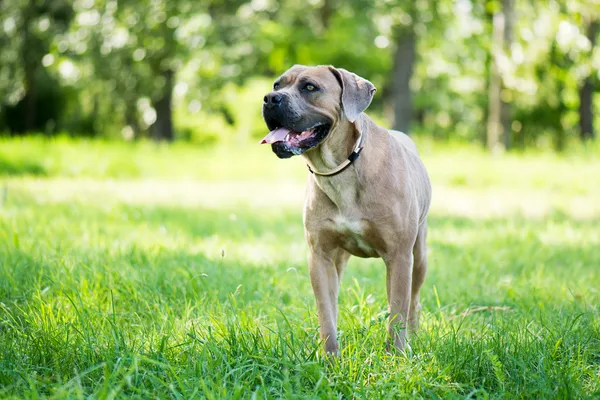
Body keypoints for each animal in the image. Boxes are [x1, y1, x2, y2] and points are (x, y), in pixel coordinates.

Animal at [260, 64, 428, 354]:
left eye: (310, 87)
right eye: (277, 85)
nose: (270, 99)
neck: (340, 169)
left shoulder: (399, 256)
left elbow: (398, 311)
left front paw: (395, 355)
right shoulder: (320, 256)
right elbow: (326, 310)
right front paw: (329, 354)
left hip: (419, 256)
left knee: (413, 301)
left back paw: (413, 338)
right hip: (339, 259)